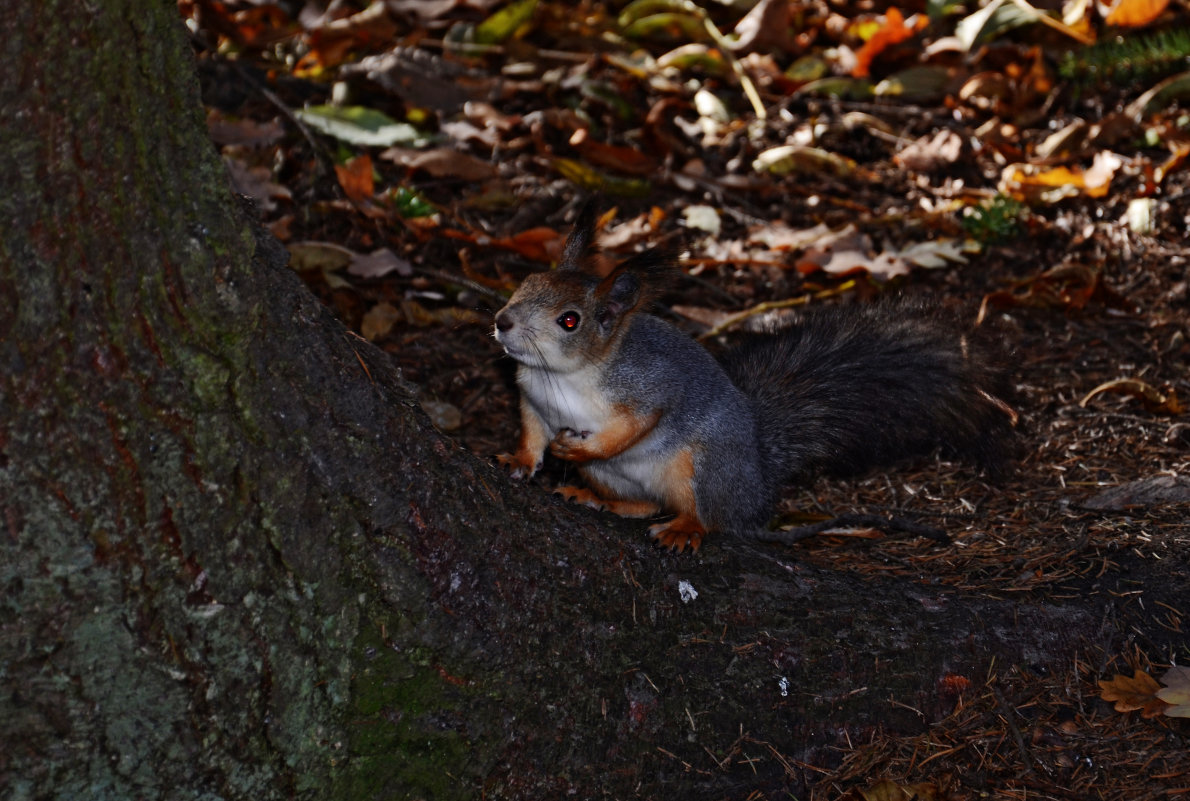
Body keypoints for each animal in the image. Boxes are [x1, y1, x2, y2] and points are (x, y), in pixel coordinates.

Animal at [490, 203, 1013, 549]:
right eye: (527, 283)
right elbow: (532, 433)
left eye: (570, 321)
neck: (564, 376)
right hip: (622, 479)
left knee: (709, 515)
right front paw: (519, 460)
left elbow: (636, 426)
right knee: (645, 505)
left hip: (707, 465)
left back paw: (686, 528)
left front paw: (578, 448)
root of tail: (758, 489)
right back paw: (596, 498)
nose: (503, 321)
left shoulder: (647, 388)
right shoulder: (532, 400)